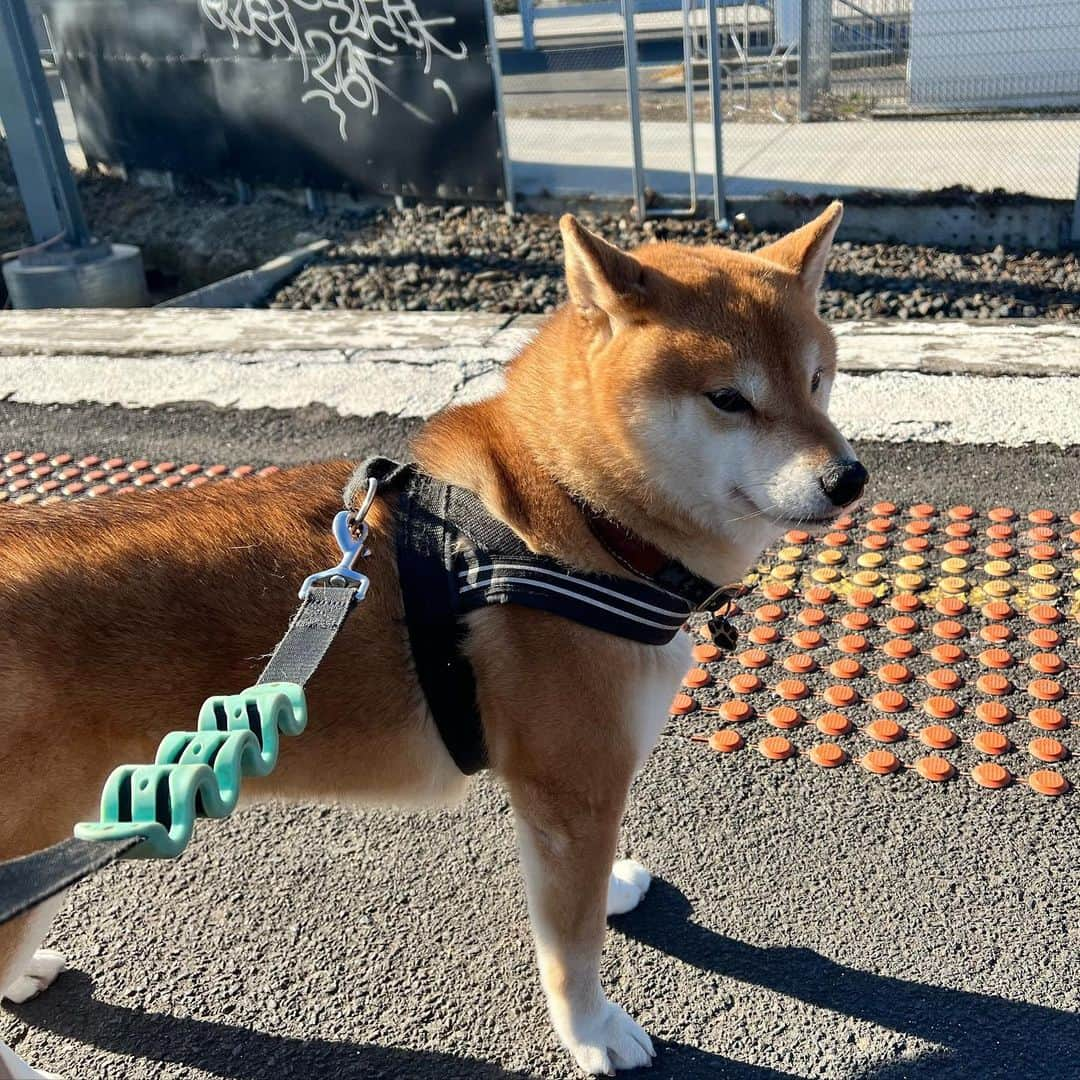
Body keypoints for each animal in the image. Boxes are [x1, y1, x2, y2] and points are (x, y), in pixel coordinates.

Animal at [0, 203, 864, 1080]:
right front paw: (592, 1031)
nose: (849, 479)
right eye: (729, 399)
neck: (580, 516)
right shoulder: (572, 788)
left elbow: (584, 890)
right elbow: (572, 946)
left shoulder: (558, 791)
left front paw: (616, 885)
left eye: (818, 380)